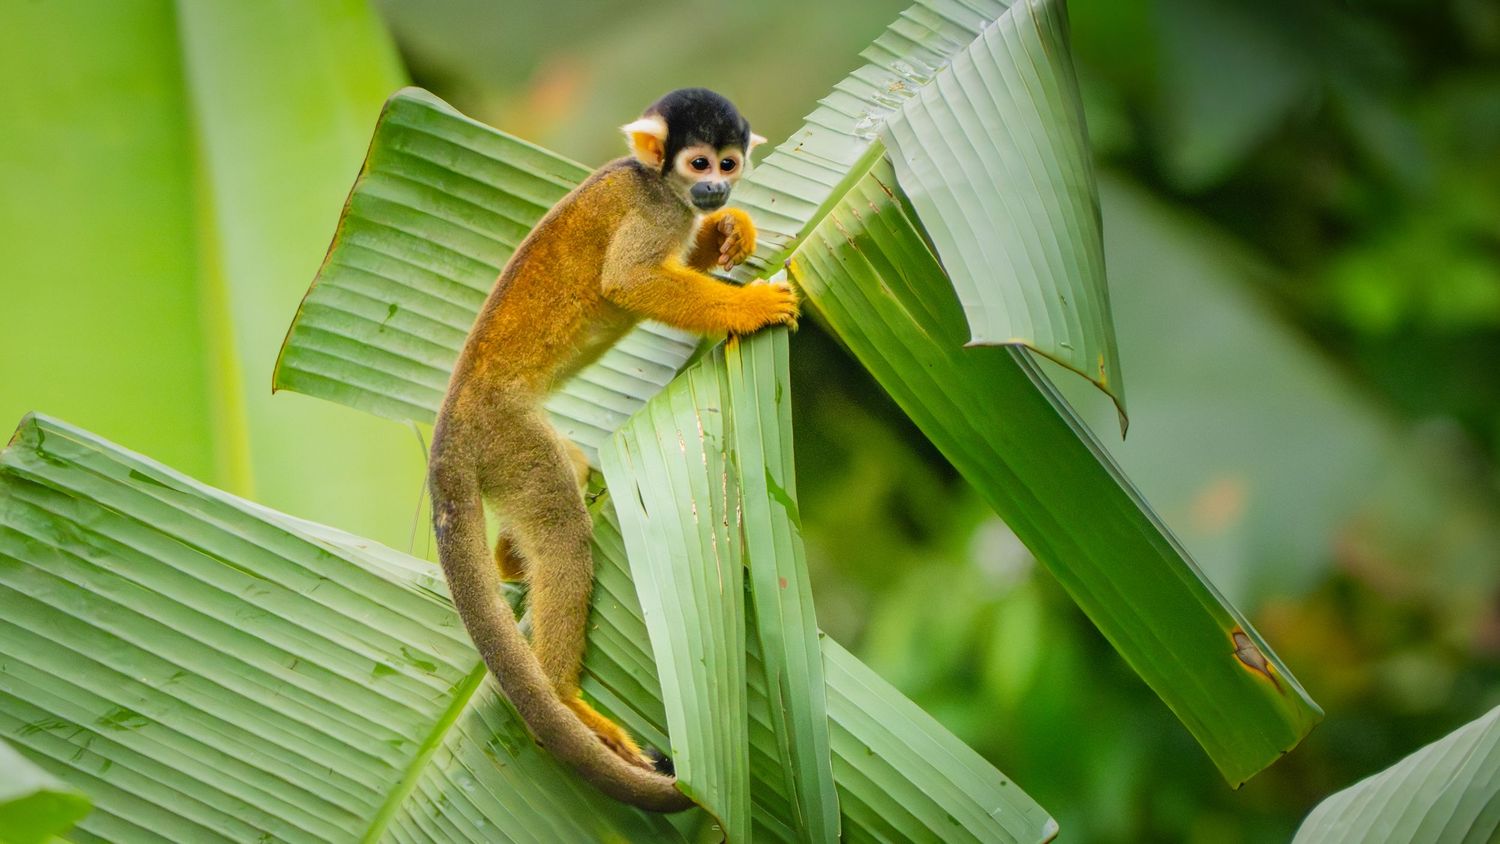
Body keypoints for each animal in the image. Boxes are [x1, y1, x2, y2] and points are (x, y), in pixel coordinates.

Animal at [427, 88, 798, 812]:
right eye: (699, 162)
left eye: (730, 163)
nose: (716, 187)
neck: (658, 182)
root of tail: (449, 429)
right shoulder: (653, 212)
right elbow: (631, 282)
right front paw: (750, 307)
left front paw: (731, 230)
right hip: (508, 436)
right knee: (562, 526)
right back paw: (563, 696)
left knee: (559, 488)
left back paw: (510, 561)